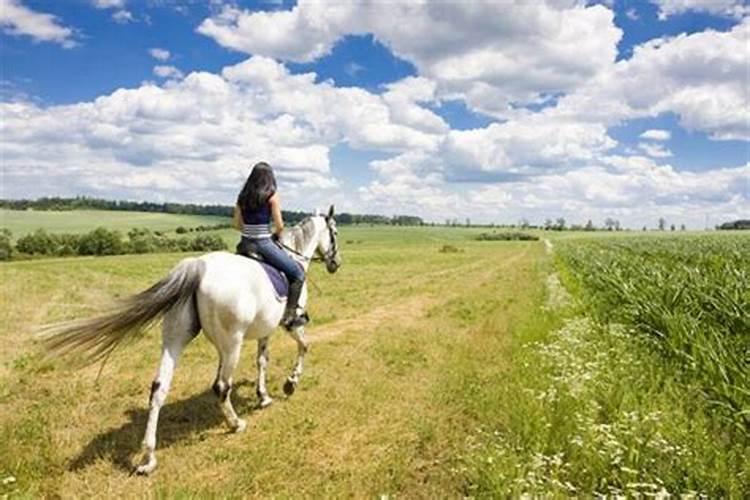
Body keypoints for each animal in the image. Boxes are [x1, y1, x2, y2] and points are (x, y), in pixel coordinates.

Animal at [36, 205, 340, 474]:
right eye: (334, 232)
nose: (335, 264)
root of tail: (199, 266)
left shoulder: (263, 331)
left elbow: (262, 361)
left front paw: (263, 396)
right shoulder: (288, 325)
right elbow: (303, 346)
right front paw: (290, 384)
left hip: (176, 338)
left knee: (159, 388)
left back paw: (148, 458)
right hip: (232, 343)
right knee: (221, 385)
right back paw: (235, 424)